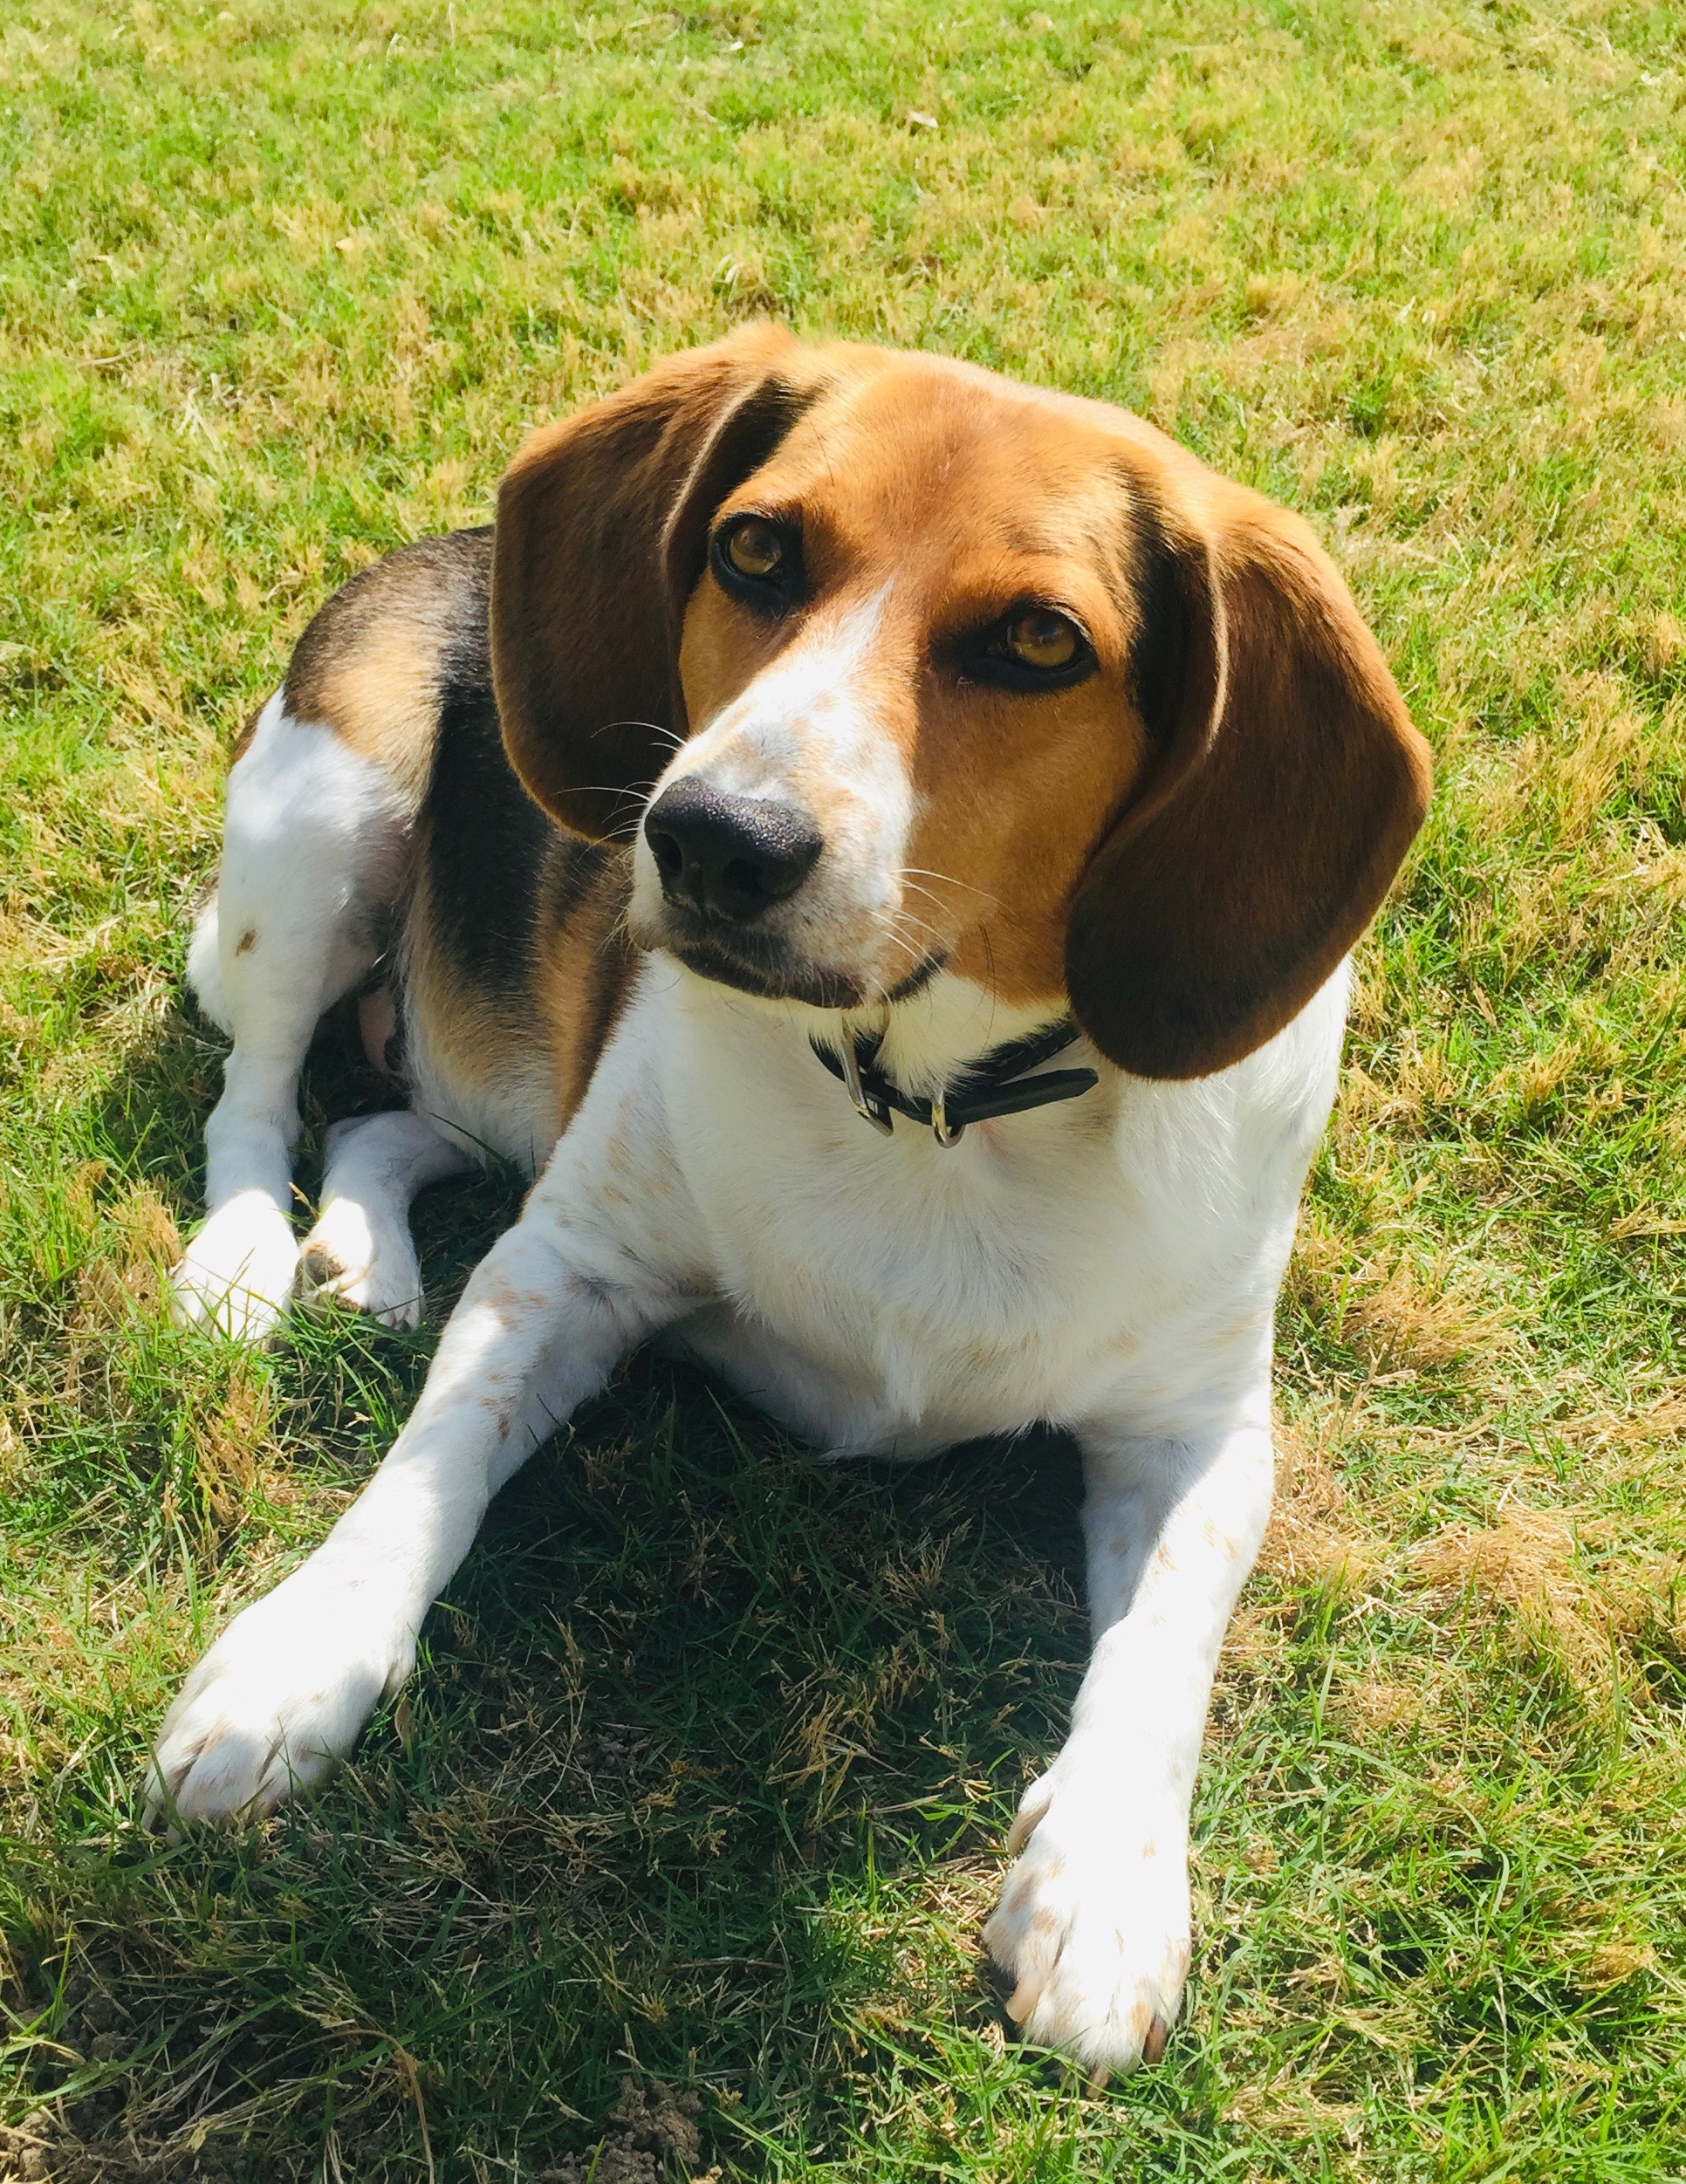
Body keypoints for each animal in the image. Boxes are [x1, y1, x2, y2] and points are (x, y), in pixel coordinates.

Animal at [151, 332, 1432, 2070]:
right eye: (755, 548)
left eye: (1041, 640)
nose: (709, 837)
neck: (932, 1107)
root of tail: (456, 541)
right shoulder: (564, 1270)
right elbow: (423, 1477)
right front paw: (294, 1659)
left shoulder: (1203, 1430)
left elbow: (1165, 1640)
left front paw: (1106, 1886)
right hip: (324, 819)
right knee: (263, 1086)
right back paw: (239, 1259)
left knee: (386, 1129)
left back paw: (365, 1248)